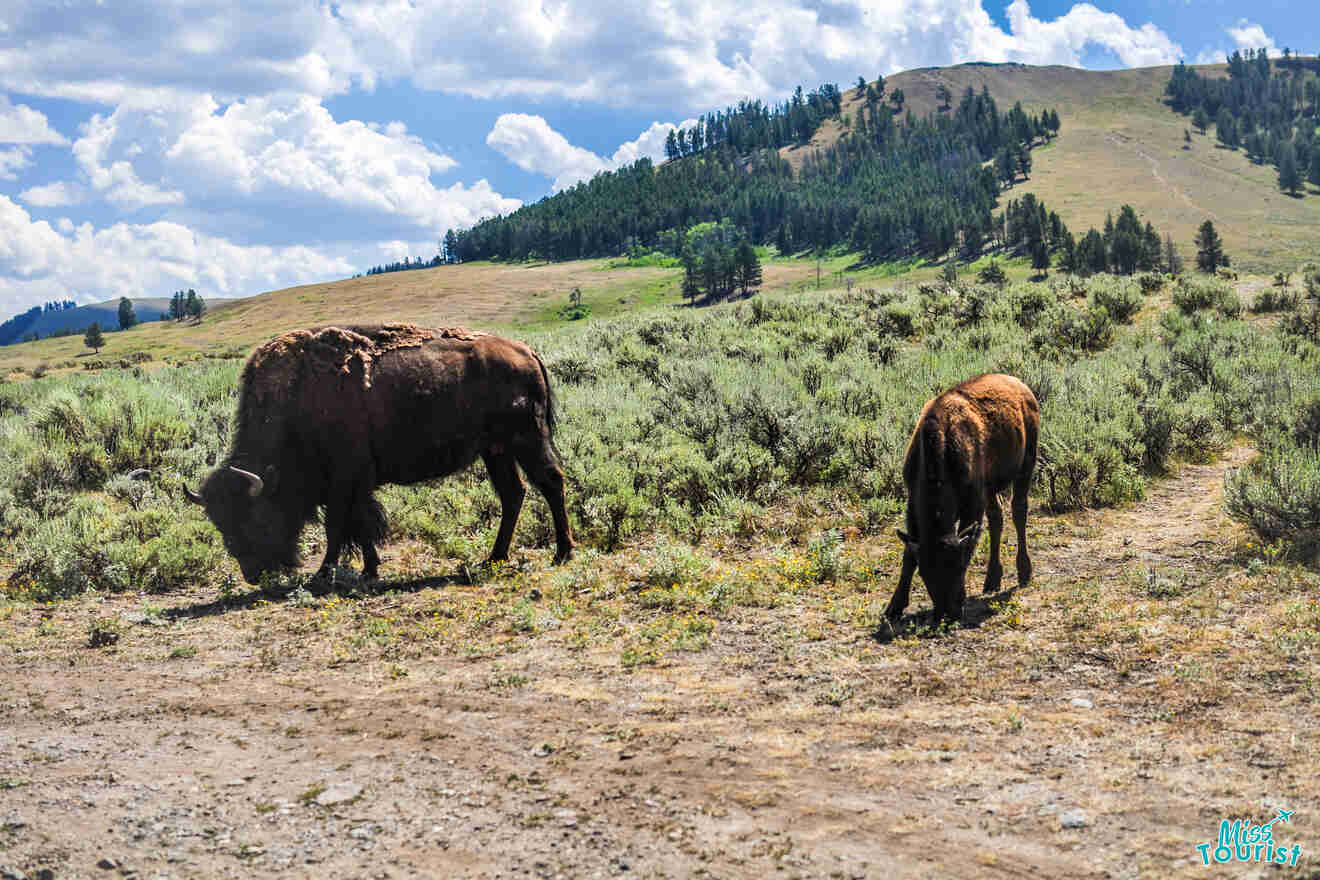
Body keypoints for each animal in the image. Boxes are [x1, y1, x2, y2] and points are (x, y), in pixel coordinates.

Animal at [887, 372, 1040, 625]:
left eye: (958, 568)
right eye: (925, 572)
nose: (947, 613)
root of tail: (1022, 387)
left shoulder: (973, 505)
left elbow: (971, 541)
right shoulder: (913, 506)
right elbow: (909, 555)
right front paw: (894, 606)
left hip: (1026, 465)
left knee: (1019, 511)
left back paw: (1024, 571)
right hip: (991, 489)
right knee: (997, 518)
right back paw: (992, 580)